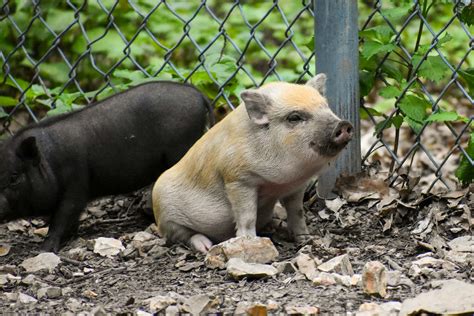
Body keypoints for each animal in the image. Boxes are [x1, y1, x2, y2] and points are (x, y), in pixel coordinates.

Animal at [0, 81, 213, 252]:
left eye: (14, 177)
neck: (50, 162)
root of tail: (198, 95)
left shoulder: (76, 187)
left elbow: (62, 217)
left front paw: (45, 250)